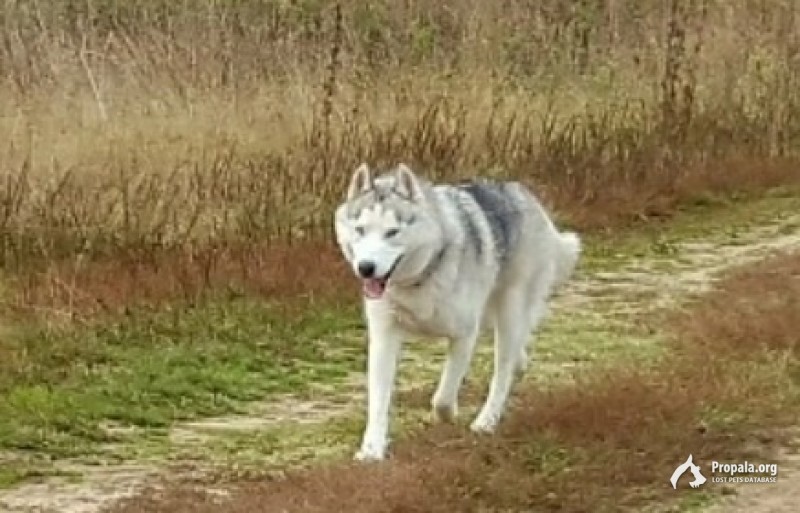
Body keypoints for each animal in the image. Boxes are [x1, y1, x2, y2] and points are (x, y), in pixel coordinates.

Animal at [332, 163, 580, 460]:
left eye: (392, 232)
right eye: (360, 230)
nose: (366, 268)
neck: (421, 277)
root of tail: (522, 193)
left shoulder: (464, 335)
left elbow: (442, 397)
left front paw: (448, 417)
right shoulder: (384, 338)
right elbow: (378, 401)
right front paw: (371, 450)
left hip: (508, 312)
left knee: (502, 371)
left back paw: (487, 420)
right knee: (517, 351)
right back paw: (520, 365)